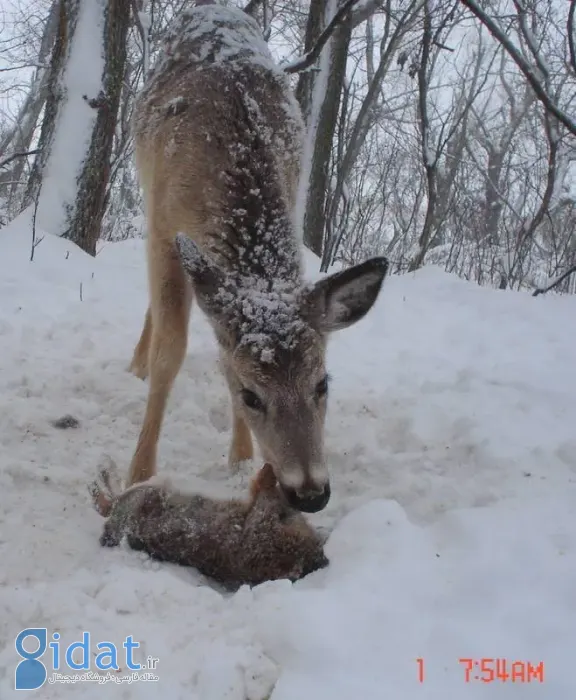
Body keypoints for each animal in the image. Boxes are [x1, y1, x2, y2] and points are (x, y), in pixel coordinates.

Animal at [125, 1, 388, 516]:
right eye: (251, 395)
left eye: (322, 384)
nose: (311, 494)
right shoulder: (165, 227)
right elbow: (172, 351)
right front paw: (139, 474)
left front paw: (241, 461)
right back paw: (136, 366)